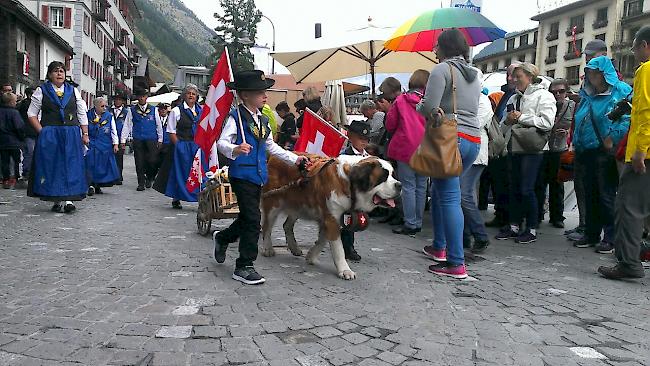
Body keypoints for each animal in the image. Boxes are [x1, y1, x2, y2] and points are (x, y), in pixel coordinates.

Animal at [258, 154, 400, 280]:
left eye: (393, 175)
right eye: (383, 177)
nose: (399, 185)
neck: (348, 183)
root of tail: (273, 157)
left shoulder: (330, 219)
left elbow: (322, 240)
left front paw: (311, 256)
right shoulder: (332, 220)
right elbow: (338, 248)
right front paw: (345, 270)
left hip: (299, 205)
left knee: (286, 225)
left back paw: (294, 247)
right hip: (273, 202)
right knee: (267, 227)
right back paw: (268, 248)